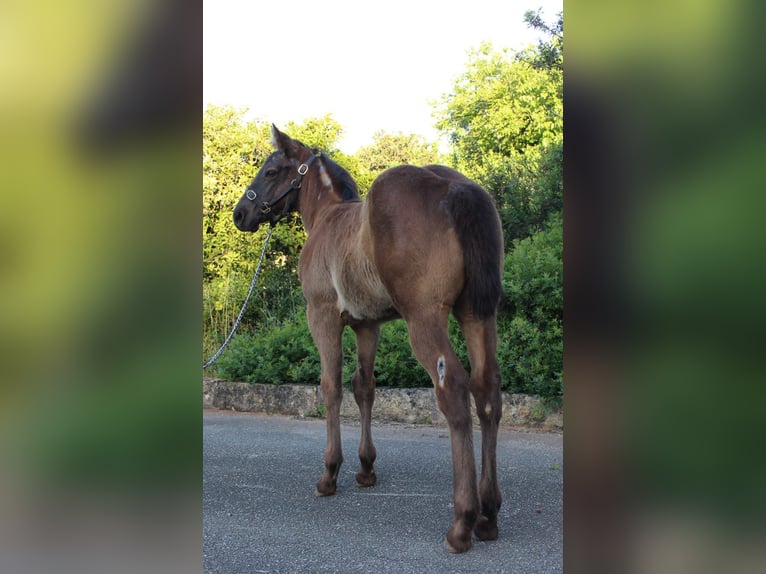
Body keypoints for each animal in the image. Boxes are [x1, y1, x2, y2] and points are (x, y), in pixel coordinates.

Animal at [233, 125, 504, 553]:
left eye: (272, 170)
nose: (240, 214)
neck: (327, 218)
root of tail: (456, 188)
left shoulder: (322, 315)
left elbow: (331, 387)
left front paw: (330, 473)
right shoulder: (367, 325)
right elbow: (364, 387)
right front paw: (365, 468)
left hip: (425, 317)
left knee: (454, 390)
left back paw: (462, 522)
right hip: (478, 312)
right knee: (487, 390)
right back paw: (489, 514)